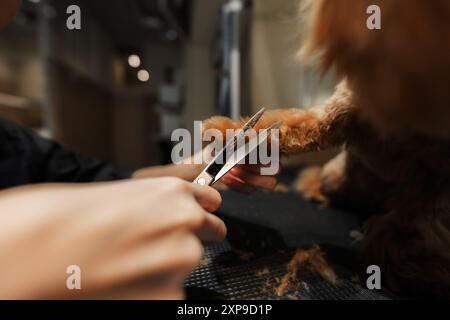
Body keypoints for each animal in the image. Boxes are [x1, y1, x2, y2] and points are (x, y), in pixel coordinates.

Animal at [204, 0, 450, 298]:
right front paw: (228, 132)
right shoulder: (331, 119)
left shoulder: (432, 184)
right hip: (337, 176)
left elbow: (403, 230)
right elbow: (284, 125)